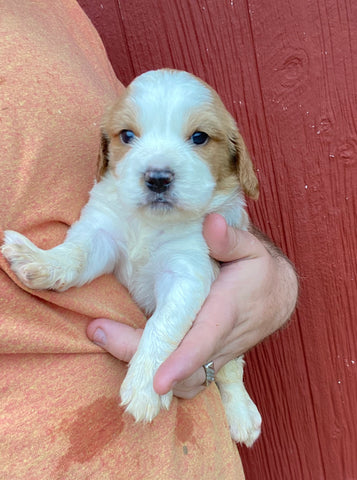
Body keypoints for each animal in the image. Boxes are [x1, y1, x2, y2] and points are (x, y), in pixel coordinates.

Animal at [2, 67, 262, 446]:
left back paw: (242, 414)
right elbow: (75, 253)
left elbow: (163, 325)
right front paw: (40, 260)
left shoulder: (187, 271)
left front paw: (146, 385)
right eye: (127, 135)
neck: (150, 223)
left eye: (199, 137)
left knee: (231, 370)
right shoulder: (102, 233)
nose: (157, 178)